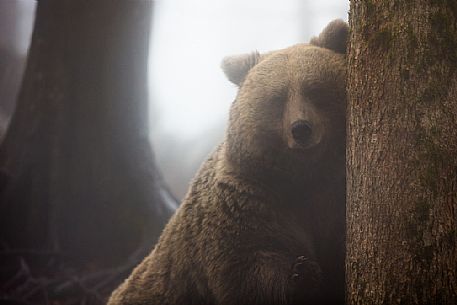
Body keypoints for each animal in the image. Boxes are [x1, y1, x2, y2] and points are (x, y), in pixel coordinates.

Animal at [107, 19, 348, 304]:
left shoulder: (332, 197)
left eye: (315, 90)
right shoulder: (245, 203)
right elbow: (246, 268)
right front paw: (302, 273)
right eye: (277, 98)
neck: (303, 176)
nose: (301, 129)